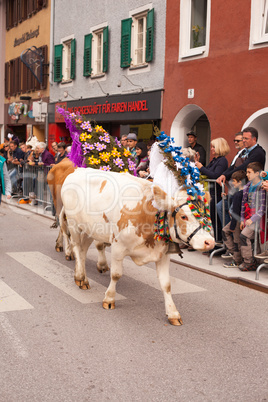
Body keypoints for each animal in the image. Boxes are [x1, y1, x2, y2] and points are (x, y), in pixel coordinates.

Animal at [60, 167, 216, 326]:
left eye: (206, 215)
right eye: (183, 216)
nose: (209, 242)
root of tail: (78, 170)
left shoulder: (163, 255)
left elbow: (166, 284)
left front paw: (173, 313)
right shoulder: (118, 246)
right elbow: (116, 275)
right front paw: (109, 299)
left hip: (90, 229)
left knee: (83, 251)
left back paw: (81, 277)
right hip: (74, 224)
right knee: (77, 247)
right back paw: (80, 276)